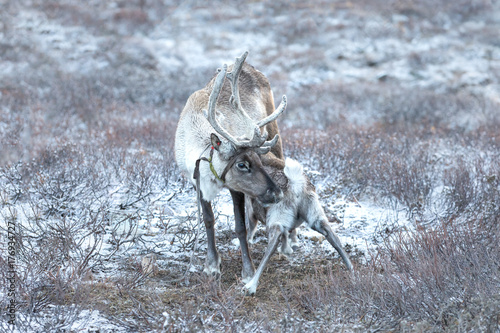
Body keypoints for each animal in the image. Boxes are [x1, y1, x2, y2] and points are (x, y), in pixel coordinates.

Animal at [243, 156, 354, 294]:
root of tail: (295, 183)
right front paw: (287, 249)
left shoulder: (249, 207)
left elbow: (251, 228)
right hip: (315, 215)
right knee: (332, 235)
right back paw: (352, 270)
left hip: (277, 216)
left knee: (273, 240)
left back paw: (250, 286)